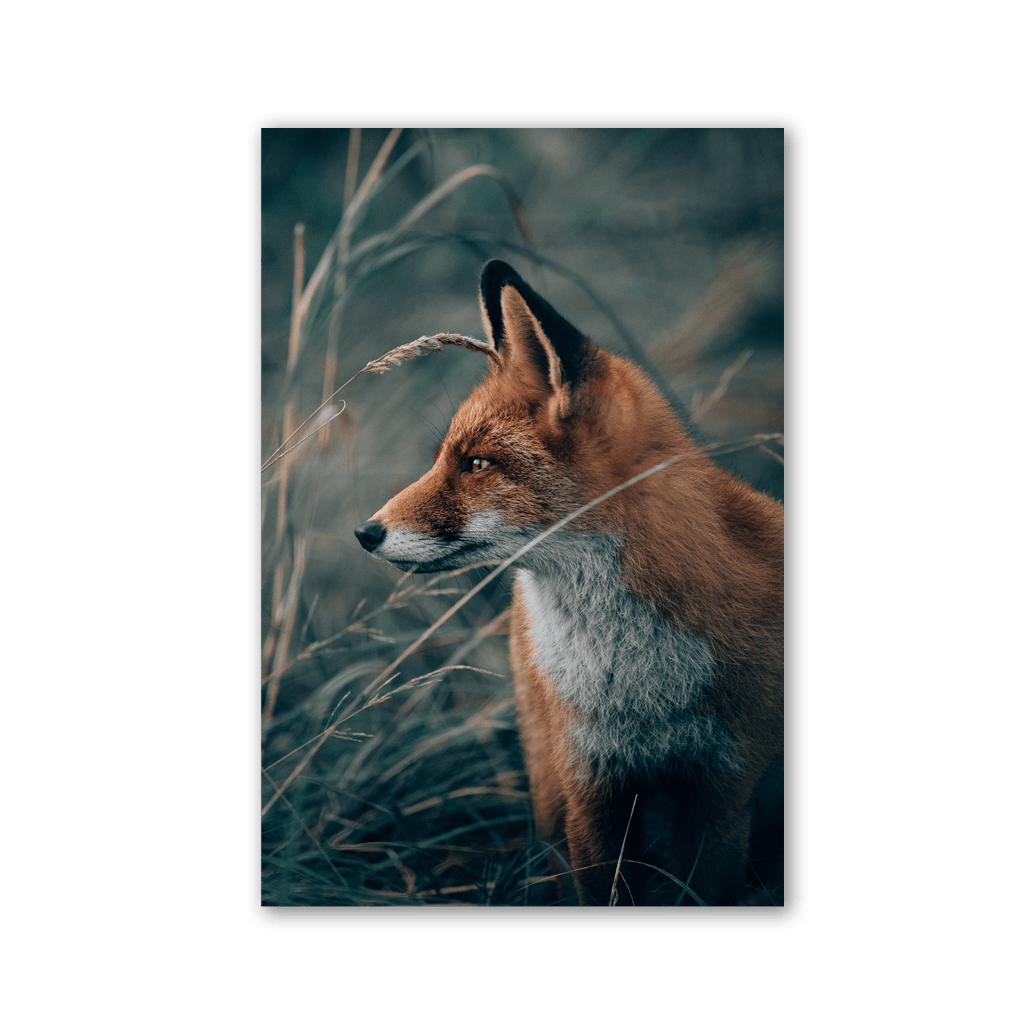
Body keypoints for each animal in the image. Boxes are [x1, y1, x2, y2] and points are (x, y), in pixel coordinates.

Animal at [355, 260, 784, 906]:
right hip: (548, 784)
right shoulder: (591, 790)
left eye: (476, 464)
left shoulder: (723, 794)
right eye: (444, 459)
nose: (365, 532)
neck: (640, 688)